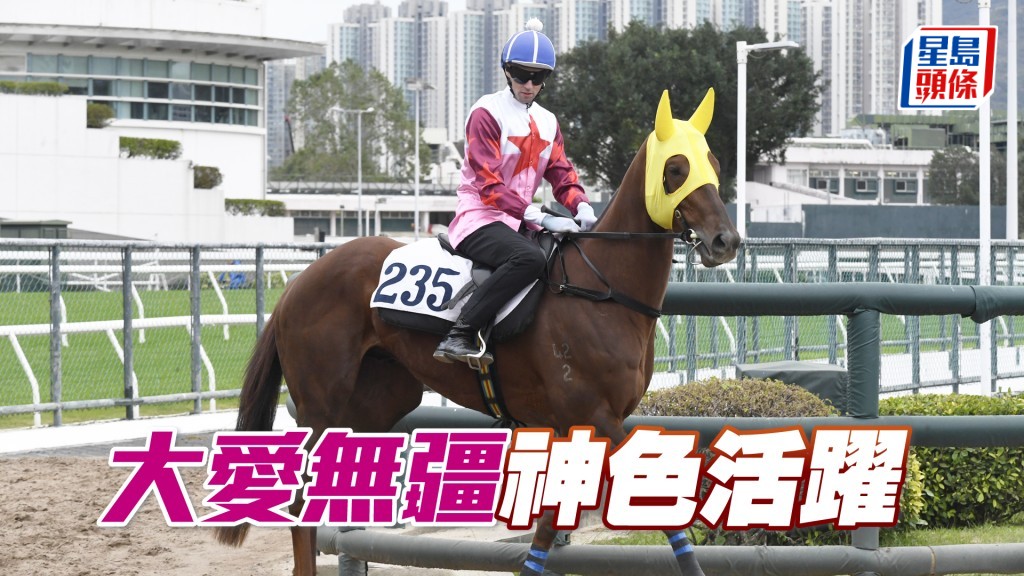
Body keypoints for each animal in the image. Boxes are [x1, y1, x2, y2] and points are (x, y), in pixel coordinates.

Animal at [214, 87, 740, 576]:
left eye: (713, 164)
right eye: (675, 169)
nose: (726, 240)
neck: (600, 289)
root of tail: (299, 282)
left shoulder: (577, 424)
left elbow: (548, 525)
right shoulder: (592, 413)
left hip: (379, 401)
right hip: (321, 404)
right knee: (301, 500)